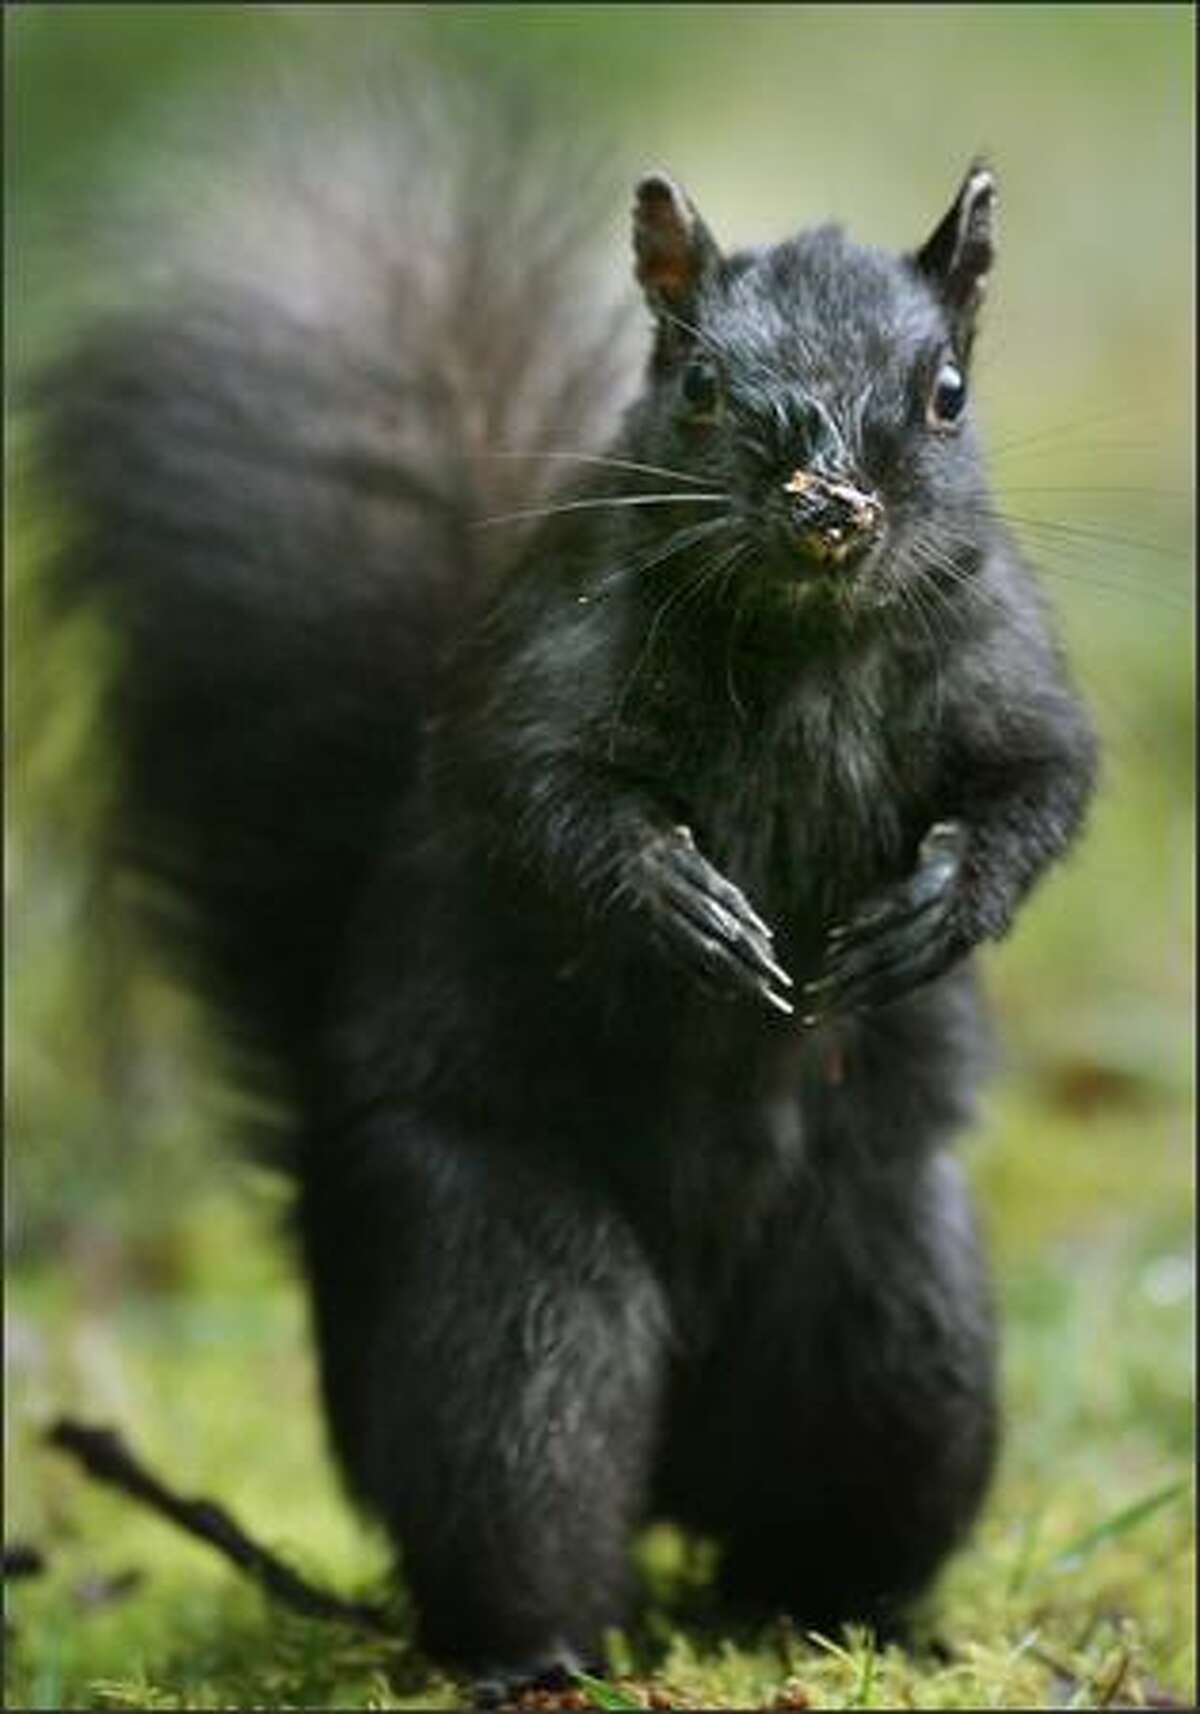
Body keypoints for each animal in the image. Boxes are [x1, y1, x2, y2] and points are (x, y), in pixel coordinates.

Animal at [30, 60, 1097, 1693]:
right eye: (701, 386)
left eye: (948, 393)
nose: (830, 510)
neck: (803, 642)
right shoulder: (543, 668)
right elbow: (535, 803)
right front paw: (680, 901)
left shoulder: (1005, 662)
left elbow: (1040, 789)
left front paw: (934, 911)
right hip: (507, 1302)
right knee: (523, 1475)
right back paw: (538, 1651)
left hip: (895, 1322)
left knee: (830, 1498)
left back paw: (869, 1623)